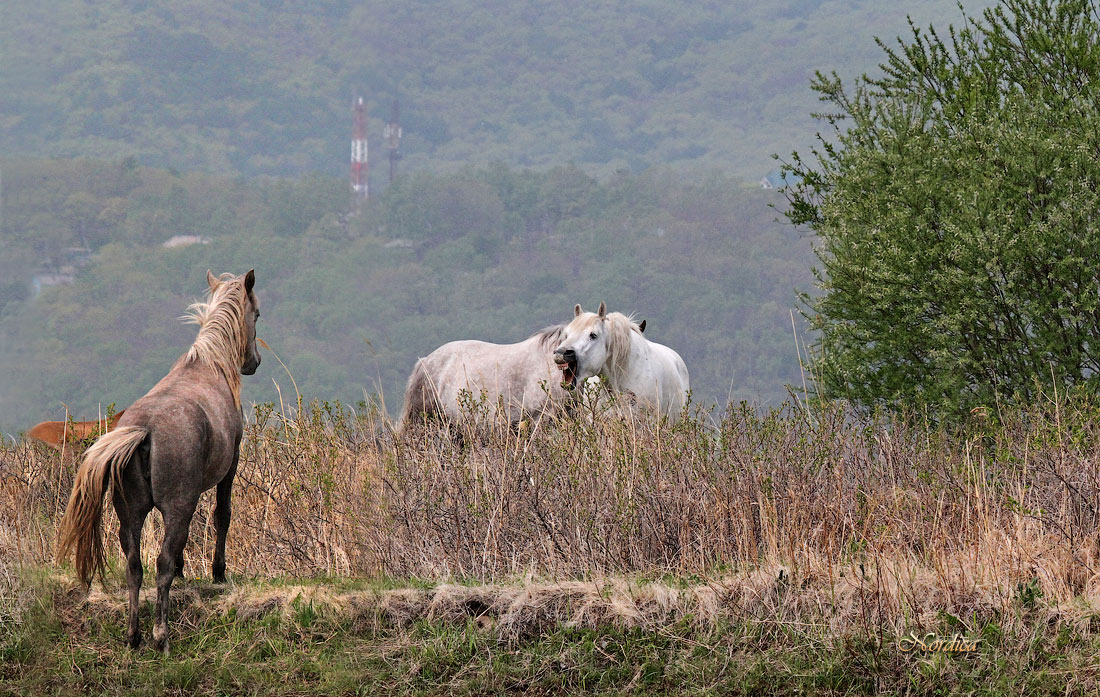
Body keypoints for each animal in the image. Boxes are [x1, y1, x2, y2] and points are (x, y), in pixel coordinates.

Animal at [56, 268, 260, 650]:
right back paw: (160, 634)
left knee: (134, 567)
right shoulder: (231, 465)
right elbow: (221, 516)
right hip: (176, 503)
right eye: (257, 313)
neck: (209, 366)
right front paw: (218, 573)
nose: (253, 362)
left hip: (131, 513)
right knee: (160, 563)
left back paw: (134, 634)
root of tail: (145, 430)